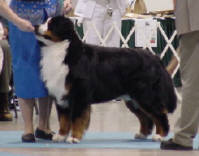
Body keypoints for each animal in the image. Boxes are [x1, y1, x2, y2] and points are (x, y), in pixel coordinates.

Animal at [35, 16, 176, 144]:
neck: (61, 51)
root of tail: (155, 58)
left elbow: (77, 118)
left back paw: (160, 136)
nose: (35, 26)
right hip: (133, 99)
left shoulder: (79, 94)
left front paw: (74, 138)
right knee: (146, 117)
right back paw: (142, 134)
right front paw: (61, 136)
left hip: (145, 95)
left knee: (159, 114)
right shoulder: (62, 95)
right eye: (45, 21)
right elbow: (63, 120)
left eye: (51, 24)